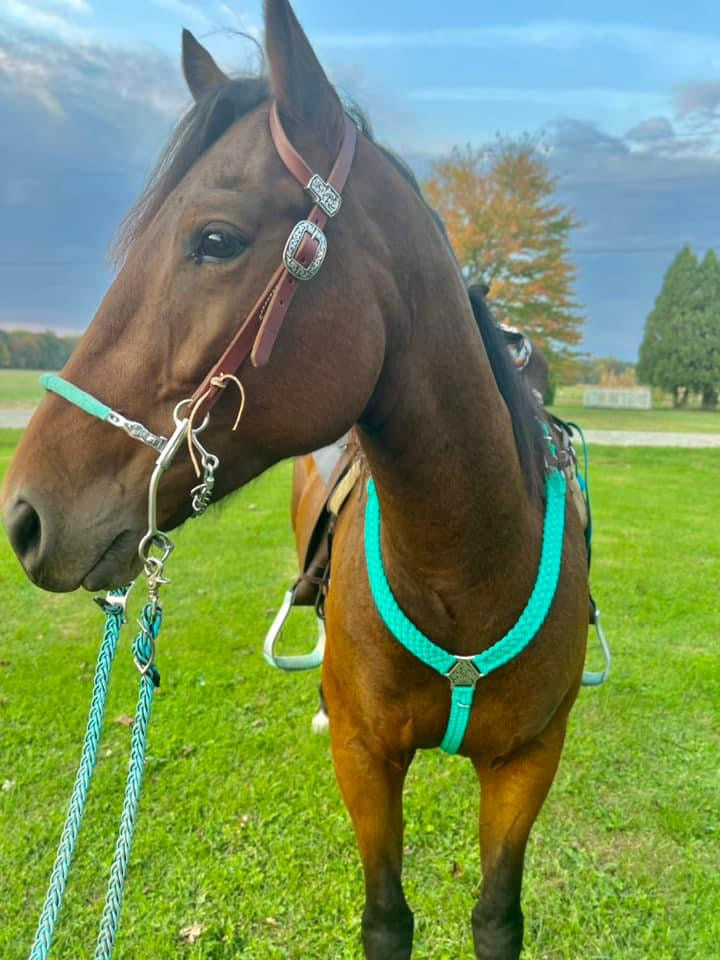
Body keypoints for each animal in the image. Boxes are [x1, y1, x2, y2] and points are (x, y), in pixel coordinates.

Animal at [1, 3, 592, 956]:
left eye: (215, 240)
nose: (24, 516)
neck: (466, 566)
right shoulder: (365, 758)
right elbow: (386, 919)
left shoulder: (528, 762)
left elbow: (496, 918)